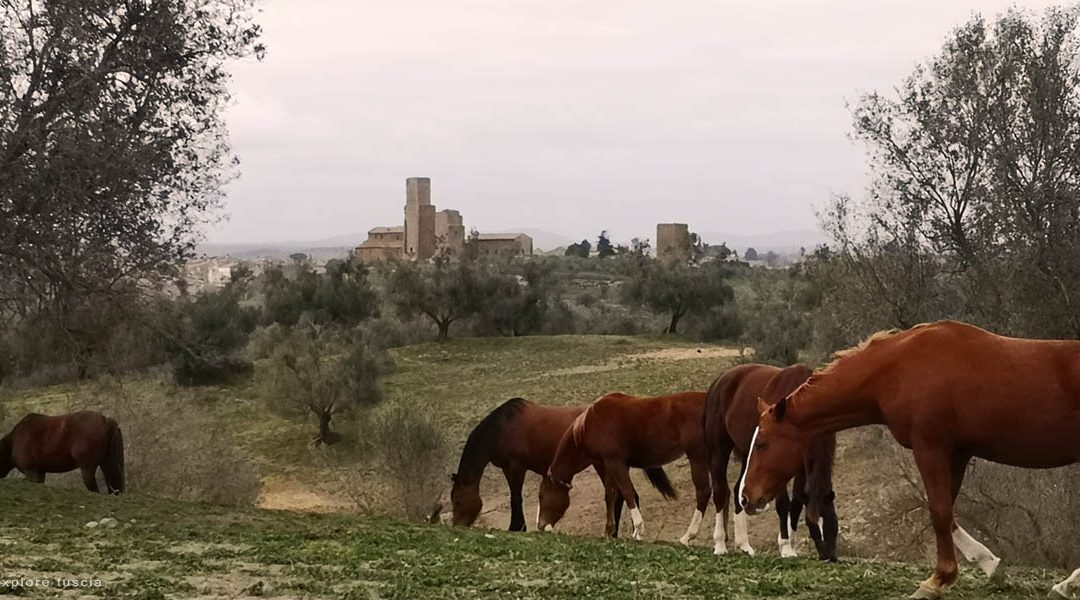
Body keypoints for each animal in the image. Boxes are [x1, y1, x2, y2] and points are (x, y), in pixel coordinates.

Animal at [450, 397, 670, 535]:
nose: (456, 526)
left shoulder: (516, 466)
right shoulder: (506, 467)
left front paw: (517, 527)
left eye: (457, 502)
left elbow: (515, 497)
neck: (502, 428)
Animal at [537, 391, 711, 544]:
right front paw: (610, 531)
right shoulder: (609, 465)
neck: (592, 422)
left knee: (703, 493)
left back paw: (688, 536)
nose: (540, 526)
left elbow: (627, 493)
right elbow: (611, 495)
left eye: (541, 496)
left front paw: (638, 530)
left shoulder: (616, 463)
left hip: (698, 458)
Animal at [703, 363, 838, 560]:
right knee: (721, 491)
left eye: (831, 522)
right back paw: (720, 544)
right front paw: (786, 547)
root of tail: (721, 380)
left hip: (749, 455)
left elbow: (797, 502)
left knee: (738, 492)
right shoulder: (776, 466)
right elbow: (783, 504)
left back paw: (744, 545)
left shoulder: (800, 466)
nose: (829, 556)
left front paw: (790, 545)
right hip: (719, 451)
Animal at [736, 320, 1080, 599]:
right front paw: (989, 564)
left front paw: (937, 581)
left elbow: (939, 512)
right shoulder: (956, 454)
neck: (899, 367)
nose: (746, 497)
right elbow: (948, 514)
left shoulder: (930, 448)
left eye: (763, 443)